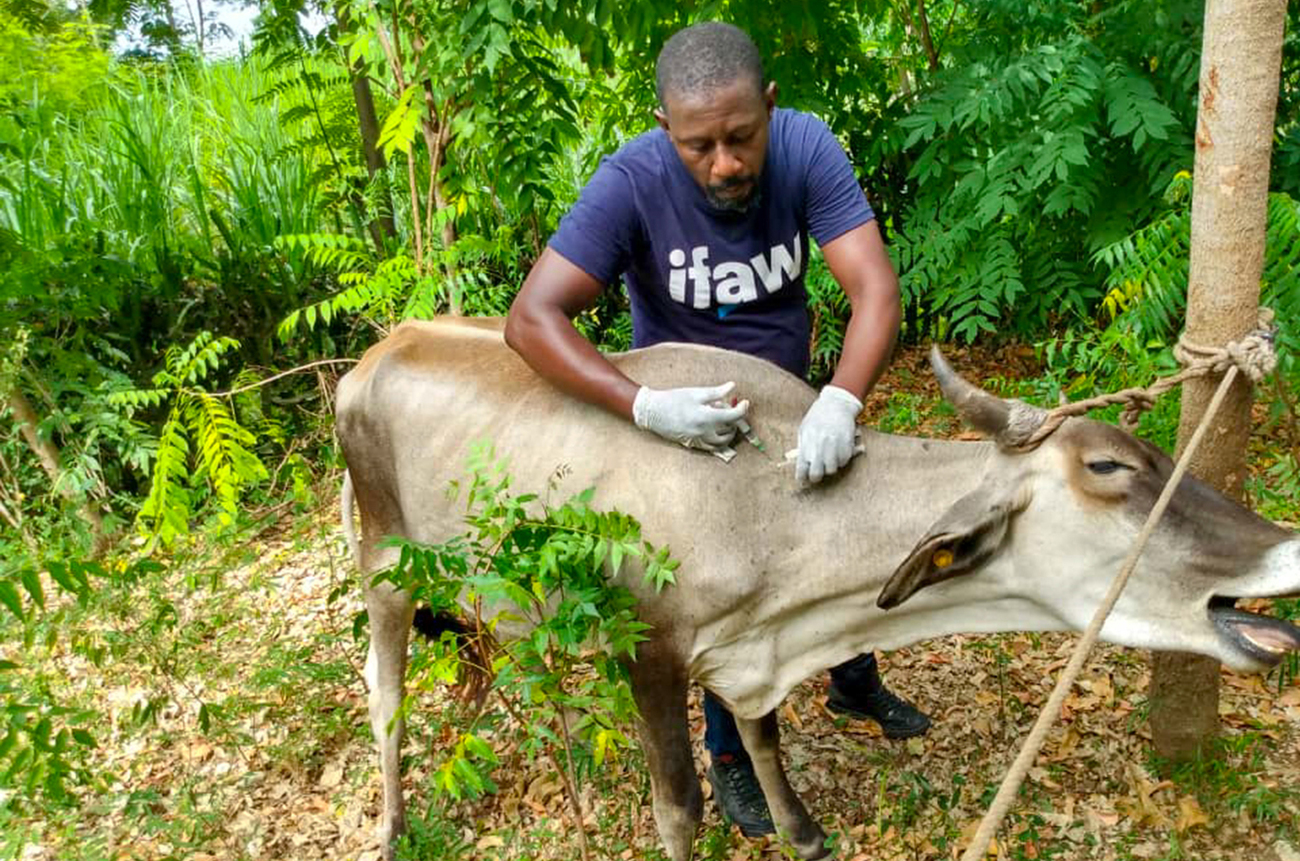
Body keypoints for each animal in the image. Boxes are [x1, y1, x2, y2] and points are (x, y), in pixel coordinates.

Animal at [338, 318, 1300, 861]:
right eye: (1107, 467)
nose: (1287, 546)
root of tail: (376, 350)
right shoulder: (651, 653)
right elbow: (679, 808)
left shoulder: (750, 649)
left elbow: (763, 738)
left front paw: (801, 831)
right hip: (385, 566)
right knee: (383, 691)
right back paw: (391, 827)